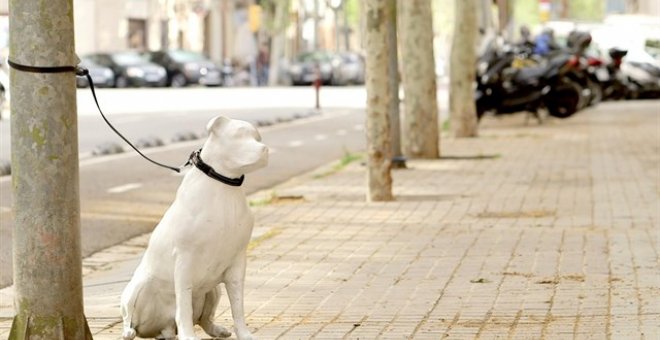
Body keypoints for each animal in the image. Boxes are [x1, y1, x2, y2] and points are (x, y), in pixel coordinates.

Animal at [121, 115, 268, 338]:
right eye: (238, 135)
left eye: (257, 137)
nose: (265, 148)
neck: (223, 186)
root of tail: (161, 327)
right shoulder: (184, 259)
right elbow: (183, 303)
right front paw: (188, 335)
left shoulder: (237, 262)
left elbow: (237, 305)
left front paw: (244, 334)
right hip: (137, 287)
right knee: (130, 317)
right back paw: (130, 332)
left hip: (213, 290)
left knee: (203, 319)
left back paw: (217, 330)